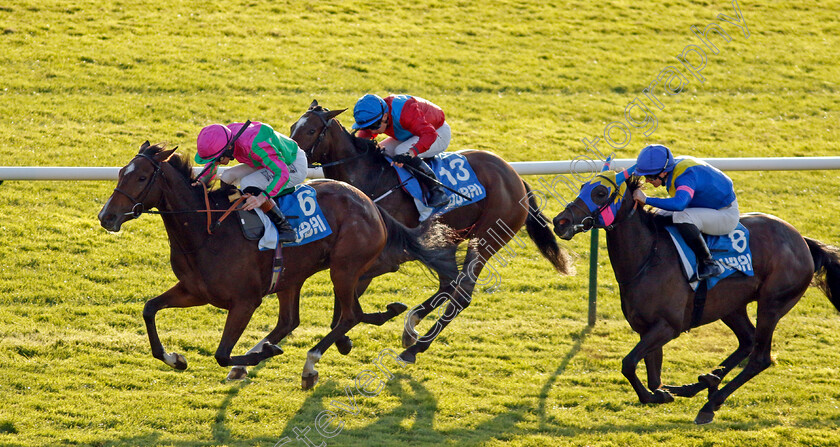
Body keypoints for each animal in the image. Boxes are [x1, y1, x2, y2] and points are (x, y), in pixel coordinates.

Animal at [99, 143, 460, 388]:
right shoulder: (194, 291)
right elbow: (149, 309)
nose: (107, 216)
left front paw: (262, 355)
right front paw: (175, 358)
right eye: (120, 173)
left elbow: (221, 353)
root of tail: (368, 201)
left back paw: (311, 364)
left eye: (141, 177)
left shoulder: (245, 301)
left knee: (349, 314)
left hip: (343, 268)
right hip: (292, 276)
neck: (206, 231)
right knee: (294, 320)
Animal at [288, 100, 572, 364]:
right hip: (453, 235)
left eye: (311, 130)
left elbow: (350, 294)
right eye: (293, 127)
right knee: (449, 283)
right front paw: (344, 336)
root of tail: (516, 178)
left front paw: (343, 337)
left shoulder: (383, 255)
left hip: (486, 239)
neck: (370, 178)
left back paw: (414, 348)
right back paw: (411, 327)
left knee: (462, 293)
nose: (290, 163)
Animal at [552, 167, 840, 424]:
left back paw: (710, 403)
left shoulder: (668, 326)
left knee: (759, 358)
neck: (648, 257)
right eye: (582, 186)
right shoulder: (647, 328)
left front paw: (655, 396)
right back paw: (701, 383)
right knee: (746, 341)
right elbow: (652, 375)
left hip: (772, 304)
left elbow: (629, 363)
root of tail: (802, 241)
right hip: (731, 306)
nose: (559, 221)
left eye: (600, 192)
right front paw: (664, 392)